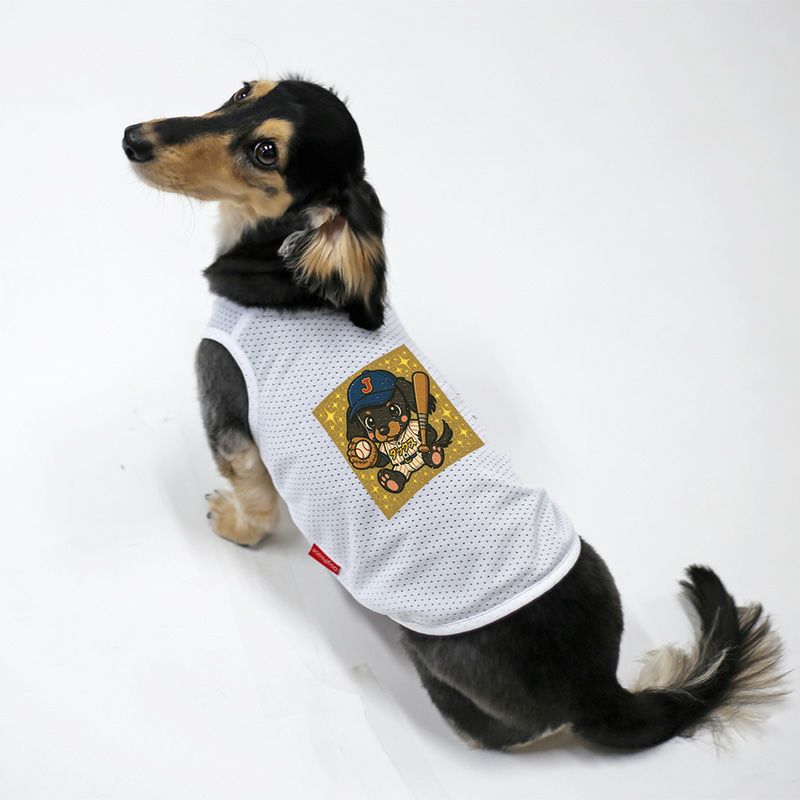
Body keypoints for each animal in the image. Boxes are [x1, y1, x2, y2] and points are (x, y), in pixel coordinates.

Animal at [124, 77, 785, 750]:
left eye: (265, 152)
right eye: (240, 93)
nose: (133, 138)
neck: (282, 269)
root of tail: (598, 688)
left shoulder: (227, 410)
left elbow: (255, 501)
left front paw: (232, 522)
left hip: (438, 665)